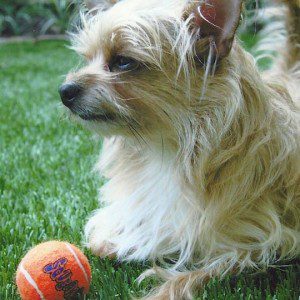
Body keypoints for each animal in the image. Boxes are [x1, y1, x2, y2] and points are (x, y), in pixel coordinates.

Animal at [59, 0, 300, 298]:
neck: (169, 147)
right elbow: (104, 240)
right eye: (88, 58)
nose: (64, 90)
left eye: (123, 61)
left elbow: (194, 275)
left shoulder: (263, 244)